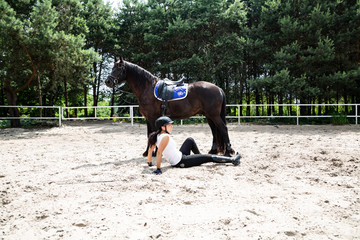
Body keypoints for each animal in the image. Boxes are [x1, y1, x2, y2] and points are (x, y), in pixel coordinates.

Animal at [105, 57, 235, 157]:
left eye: (119, 68)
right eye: (112, 68)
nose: (108, 81)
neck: (147, 88)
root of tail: (218, 88)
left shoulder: (152, 117)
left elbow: (153, 134)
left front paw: (154, 152)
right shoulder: (148, 118)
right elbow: (149, 134)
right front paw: (147, 152)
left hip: (214, 115)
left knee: (223, 129)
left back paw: (228, 152)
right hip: (209, 116)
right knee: (214, 131)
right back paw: (213, 151)